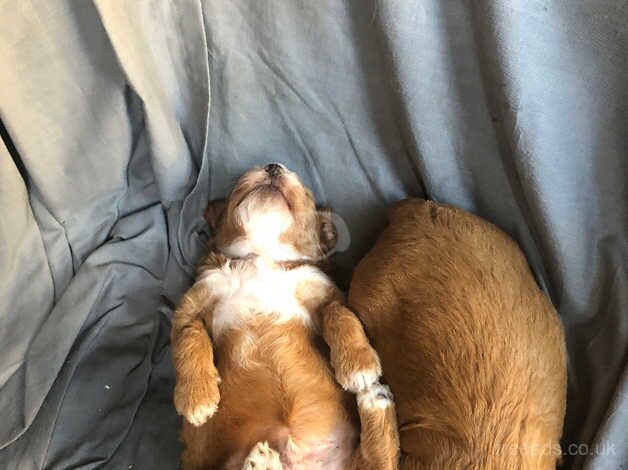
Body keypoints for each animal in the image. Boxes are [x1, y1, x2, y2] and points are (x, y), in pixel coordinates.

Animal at [170, 163, 398, 468]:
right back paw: (261, 461)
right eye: (238, 186)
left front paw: (358, 366)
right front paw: (197, 398)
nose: (273, 166)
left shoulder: (325, 294)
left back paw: (375, 399)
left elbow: (340, 316)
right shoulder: (190, 307)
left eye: (306, 192)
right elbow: (189, 337)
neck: (262, 256)